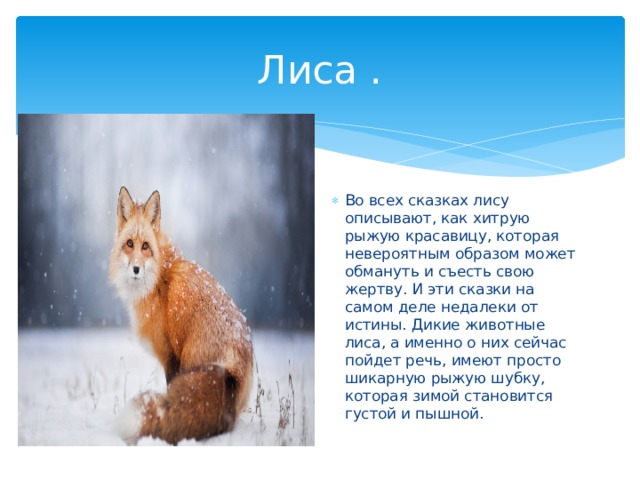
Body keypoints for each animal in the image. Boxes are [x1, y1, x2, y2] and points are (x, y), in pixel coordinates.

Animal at [109, 186, 253, 445]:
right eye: (129, 243)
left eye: (145, 246)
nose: (135, 269)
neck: (159, 279)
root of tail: (234, 370)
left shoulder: (170, 356)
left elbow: (168, 393)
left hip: (188, 361)